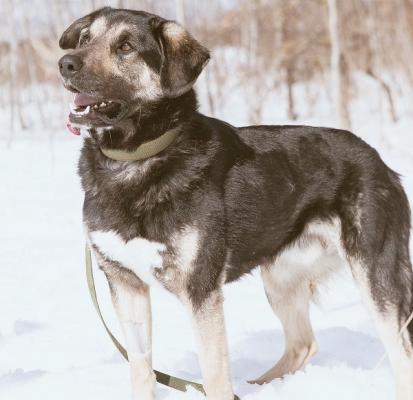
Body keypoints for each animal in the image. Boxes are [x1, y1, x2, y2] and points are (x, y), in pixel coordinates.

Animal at [58, 7, 412, 400]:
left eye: (126, 47)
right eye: (85, 38)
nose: (65, 64)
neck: (134, 161)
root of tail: (381, 162)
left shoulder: (201, 291)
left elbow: (214, 373)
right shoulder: (125, 283)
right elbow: (141, 369)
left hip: (375, 276)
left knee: (401, 354)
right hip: (281, 278)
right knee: (303, 344)